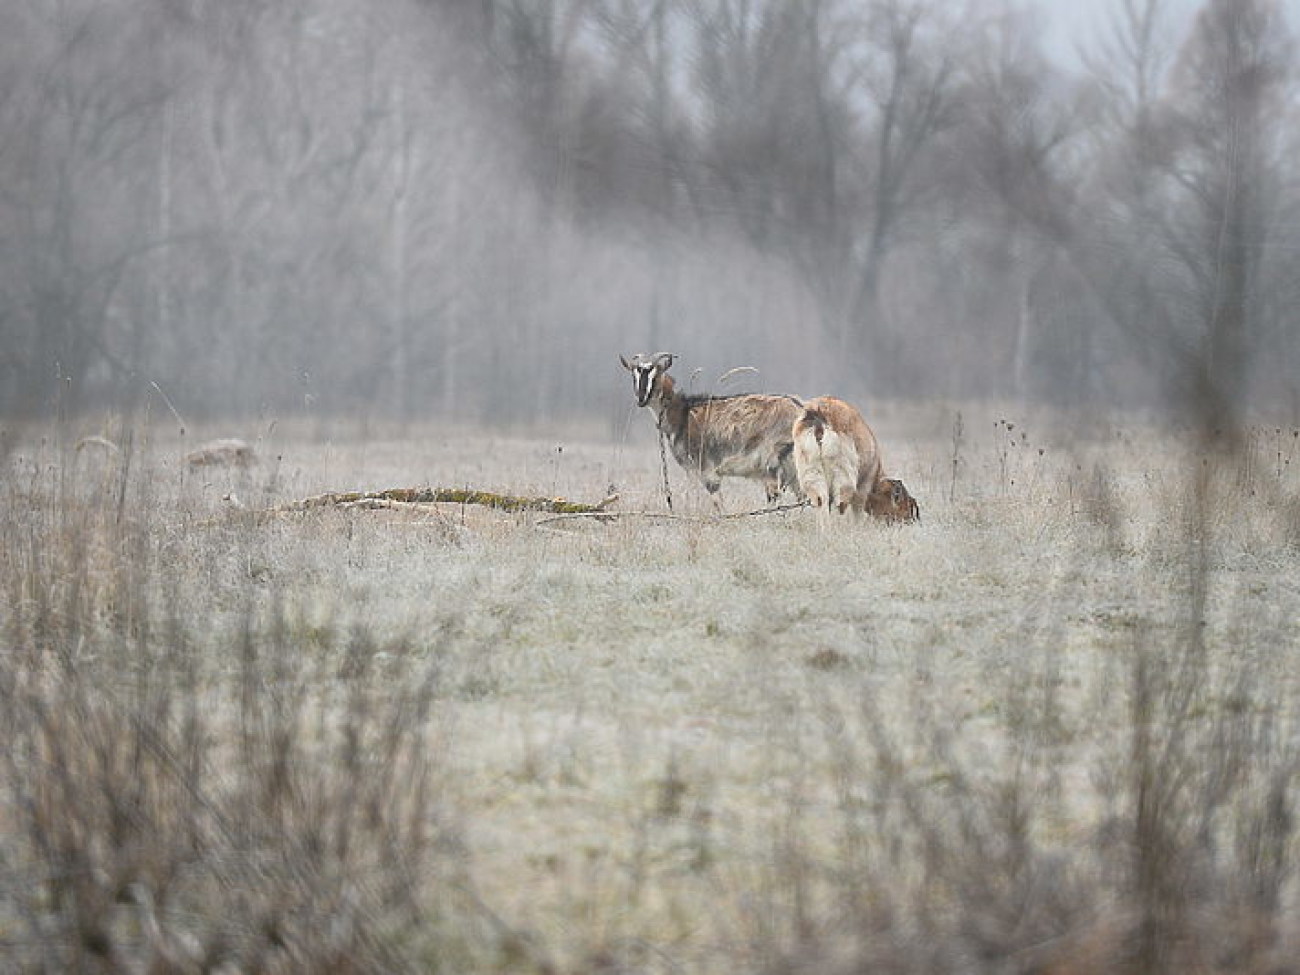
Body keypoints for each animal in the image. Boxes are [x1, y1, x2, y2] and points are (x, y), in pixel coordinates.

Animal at [621, 353, 800, 506]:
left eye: (656, 374)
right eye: (634, 376)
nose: (641, 399)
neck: (682, 413)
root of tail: (799, 408)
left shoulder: (705, 468)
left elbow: (717, 502)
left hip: (773, 464)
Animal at [790, 395, 925, 522]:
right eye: (905, 504)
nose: (911, 521)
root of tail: (819, 414)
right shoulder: (863, 488)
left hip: (811, 470)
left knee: (820, 500)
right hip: (843, 476)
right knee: (840, 503)